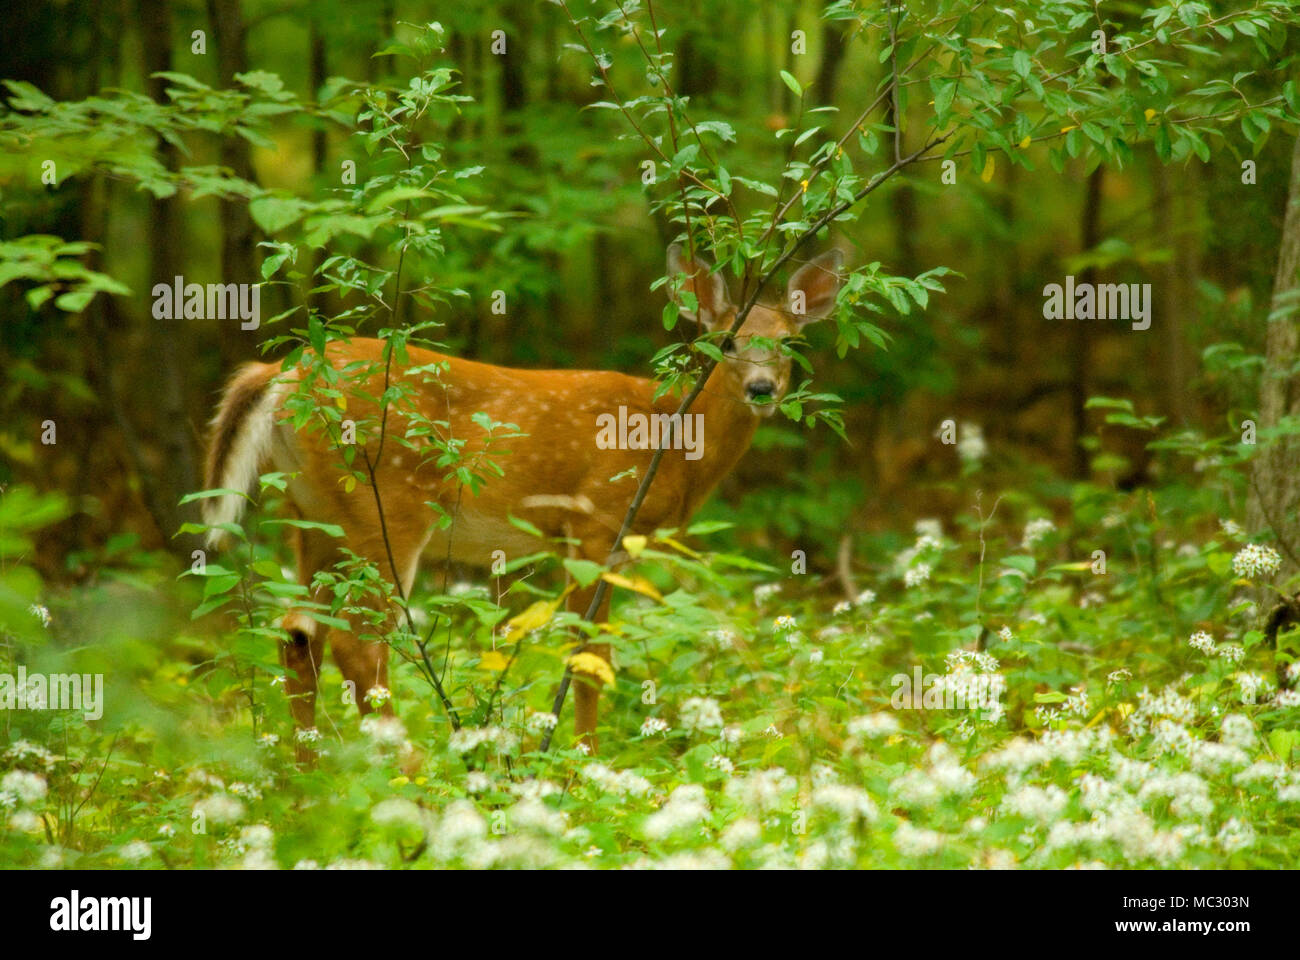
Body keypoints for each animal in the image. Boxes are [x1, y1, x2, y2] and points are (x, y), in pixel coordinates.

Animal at [201, 244, 843, 755]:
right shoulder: (595, 524)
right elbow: (590, 661)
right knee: (356, 643)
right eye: (727, 340)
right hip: (384, 506)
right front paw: (585, 766)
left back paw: (307, 776)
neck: (670, 435)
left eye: (790, 342)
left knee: (298, 634)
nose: (761, 388)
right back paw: (408, 775)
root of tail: (280, 376)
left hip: (310, 513)